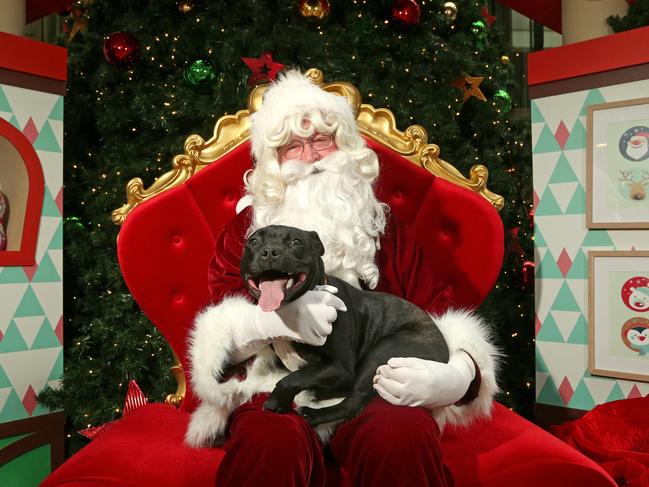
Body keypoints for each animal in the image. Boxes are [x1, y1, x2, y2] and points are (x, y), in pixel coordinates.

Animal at [240, 225, 448, 428]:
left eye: (296, 242)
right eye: (254, 242)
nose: (269, 251)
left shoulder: (339, 366)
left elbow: (294, 378)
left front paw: (276, 401)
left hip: (383, 352)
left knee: (353, 401)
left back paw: (312, 413)